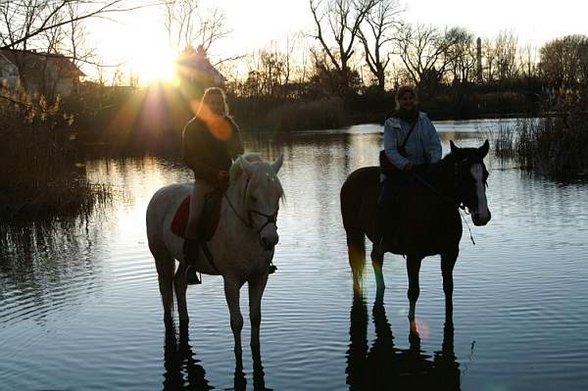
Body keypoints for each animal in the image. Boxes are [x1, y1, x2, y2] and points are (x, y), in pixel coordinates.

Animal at [147, 155, 284, 356]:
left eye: (278, 196)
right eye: (253, 197)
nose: (270, 239)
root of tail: (159, 193)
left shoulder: (260, 277)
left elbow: (255, 317)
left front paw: (255, 347)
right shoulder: (231, 281)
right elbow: (237, 322)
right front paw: (238, 352)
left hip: (185, 259)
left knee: (179, 283)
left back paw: (185, 318)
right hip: (161, 256)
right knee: (165, 288)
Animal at [340, 140, 492, 328]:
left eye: (485, 175)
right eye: (464, 177)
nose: (483, 216)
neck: (435, 209)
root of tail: (350, 178)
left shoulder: (450, 254)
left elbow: (448, 288)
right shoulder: (414, 256)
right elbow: (413, 292)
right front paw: (412, 321)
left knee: (376, 258)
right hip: (353, 232)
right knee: (356, 264)